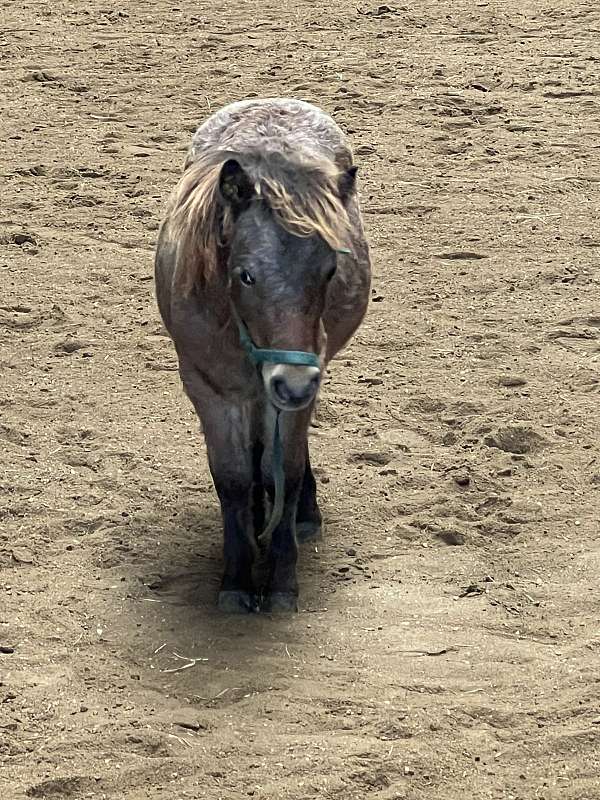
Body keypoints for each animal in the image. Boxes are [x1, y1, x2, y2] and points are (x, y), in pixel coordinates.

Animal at [154, 98, 371, 613]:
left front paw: (280, 582)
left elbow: (285, 472)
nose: (292, 383)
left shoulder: (301, 384)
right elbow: (232, 478)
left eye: (330, 270)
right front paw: (237, 578)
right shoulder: (210, 389)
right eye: (246, 275)